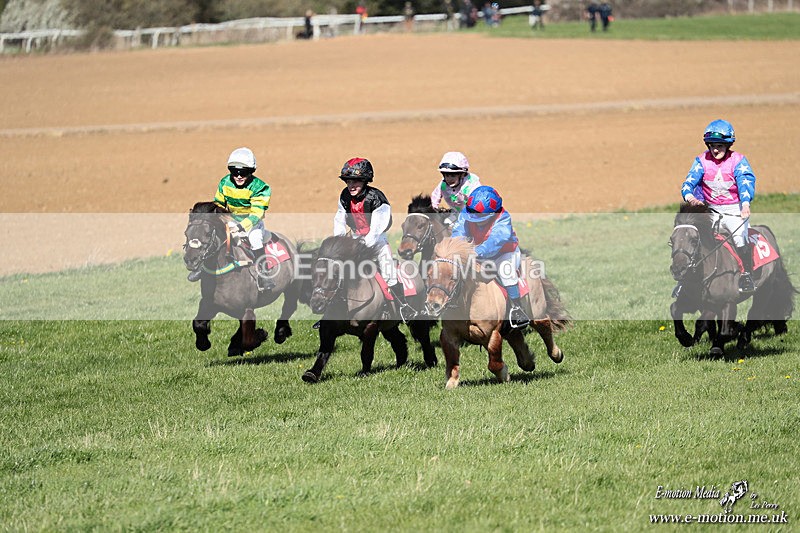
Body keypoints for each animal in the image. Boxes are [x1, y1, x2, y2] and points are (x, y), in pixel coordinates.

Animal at [183, 202, 301, 357]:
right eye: (186, 233)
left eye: (208, 233)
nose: (190, 259)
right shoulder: (209, 303)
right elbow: (198, 324)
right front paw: (204, 343)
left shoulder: (247, 309)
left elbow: (248, 341)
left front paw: (261, 334)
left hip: (291, 286)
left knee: (289, 306)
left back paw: (280, 334)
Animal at [299, 235, 437, 383]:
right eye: (313, 274)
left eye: (335, 275)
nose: (317, 304)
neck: (350, 303)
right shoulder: (328, 327)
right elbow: (323, 351)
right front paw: (311, 373)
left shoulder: (370, 326)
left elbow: (366, 352)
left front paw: (364, 373)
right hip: (389, 325)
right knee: (399, 340)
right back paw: (401, 365)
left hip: (417, 318)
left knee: (423, 337)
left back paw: (431, 361)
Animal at [424, 237, 570, 389]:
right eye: (428, 275)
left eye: (453, 277)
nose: (433, 305)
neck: (469, 301)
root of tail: (529, 261)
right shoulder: (449, 335)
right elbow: (452, 361)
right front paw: (451, 383)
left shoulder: (492, 332)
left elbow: (494, 362)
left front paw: (504, 375)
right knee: (516, 337)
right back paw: (527, 362)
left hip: (537, 311)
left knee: (544, 327)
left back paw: (556, 354)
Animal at [669, 204, 796, 357]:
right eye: (671, 241)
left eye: (694, 240)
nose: (678, 269)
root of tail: (765, 231)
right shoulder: (694, 302)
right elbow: (675, 309)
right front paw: (686, 338)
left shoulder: (726, 302)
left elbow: (718, 328)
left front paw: (720, 345)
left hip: (764, 290)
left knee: (754, 314)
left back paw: (743, 339)